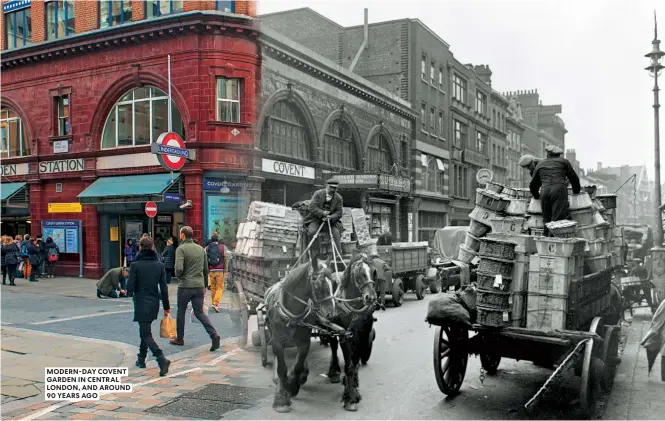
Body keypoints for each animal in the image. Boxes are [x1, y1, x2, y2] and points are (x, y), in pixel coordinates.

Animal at [264, 254, 338, 412]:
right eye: (317, 284)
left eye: (334, 283)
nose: (332, 314)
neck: (292, 315)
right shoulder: (277, 341)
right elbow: (282, 368)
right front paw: (281, 397)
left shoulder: (304, 342)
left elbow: (298, 365)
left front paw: (293, 385)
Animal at [326, 249, 378, 410]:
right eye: (359, 273)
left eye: (373, 271)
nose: (371, 298)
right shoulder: (345, 336)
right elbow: (349, 366)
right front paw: (350, 398)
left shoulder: (362, 335)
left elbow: (354, 363)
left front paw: (354, 386)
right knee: (333, 346)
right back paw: (334, 371)